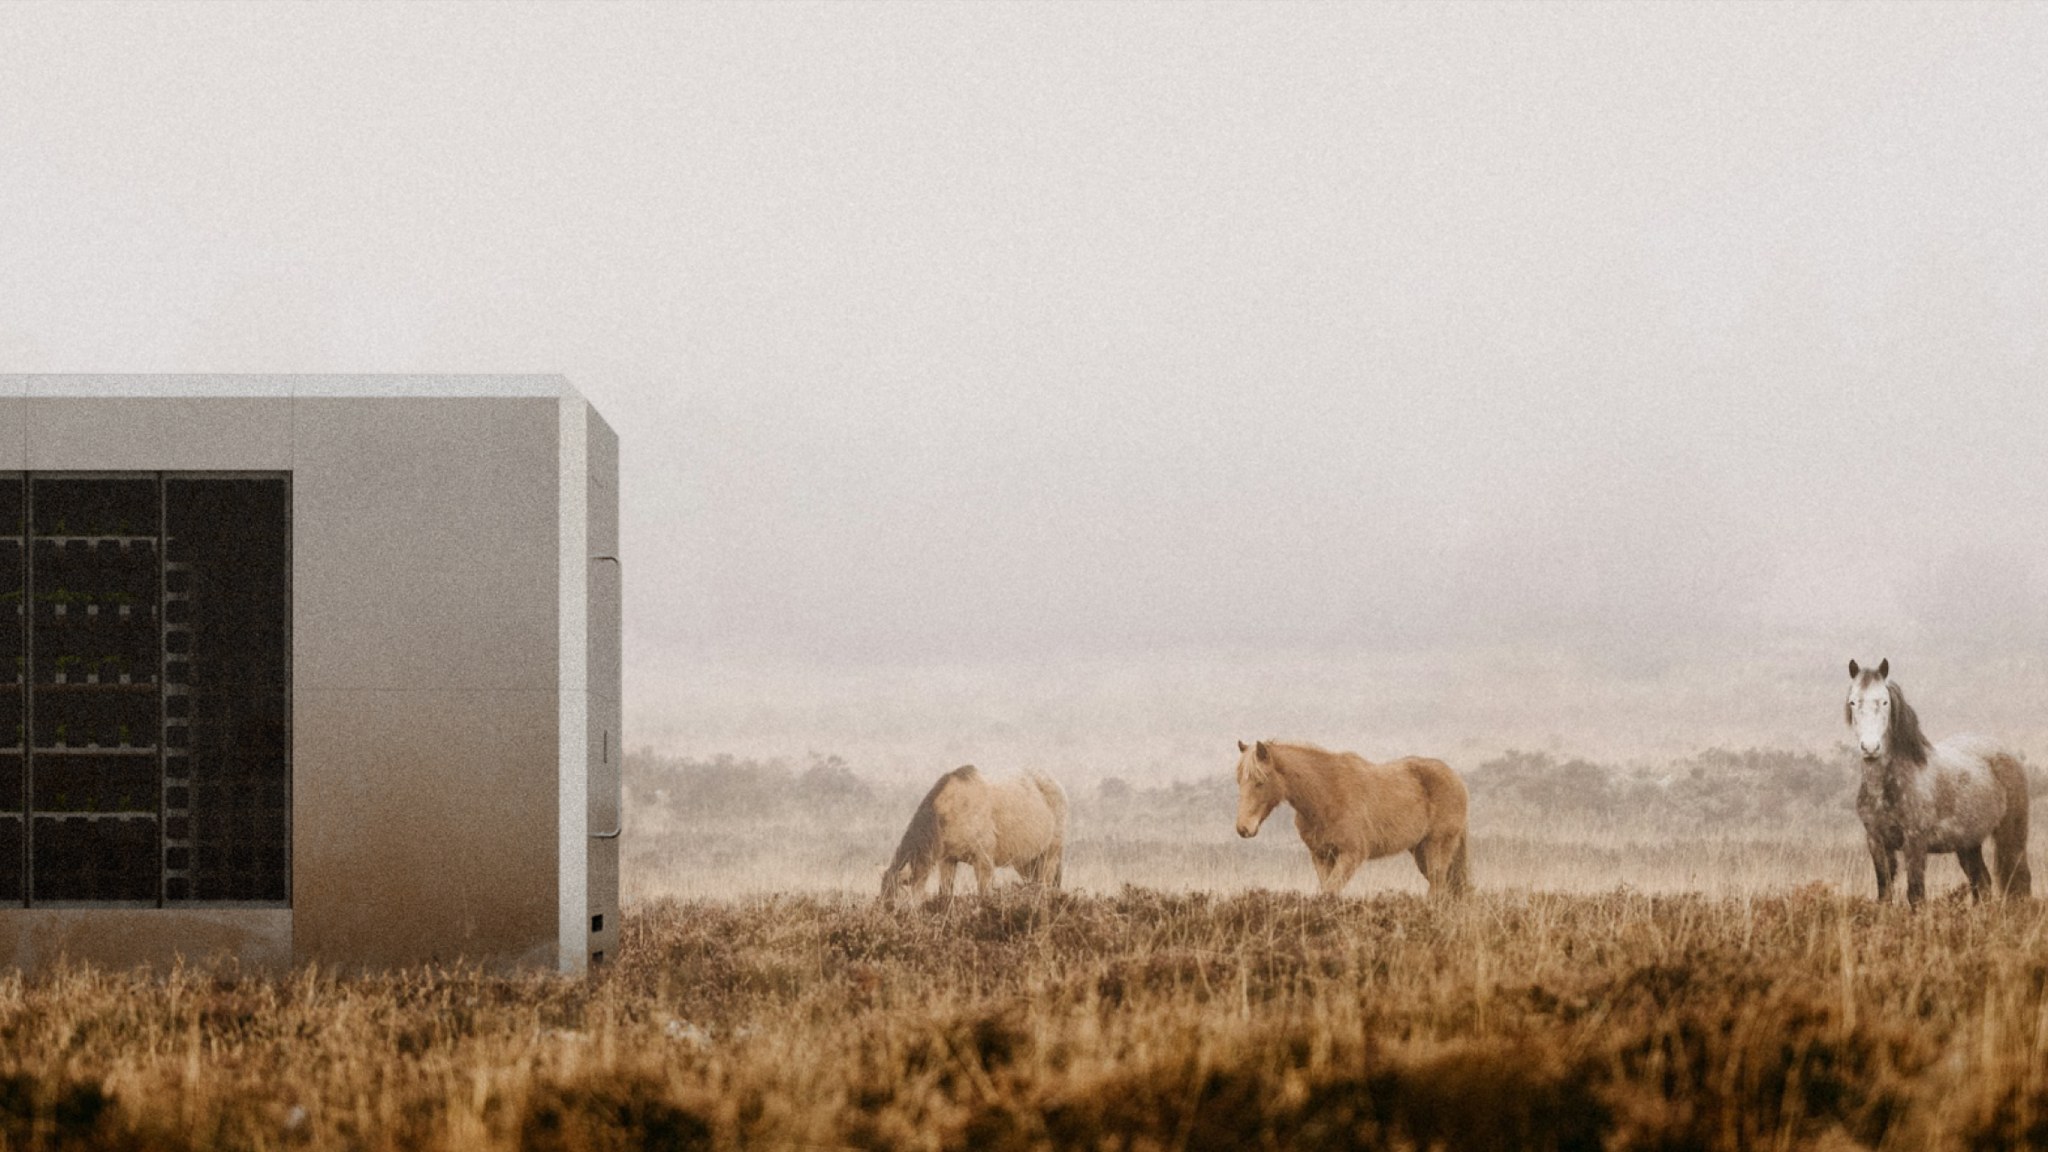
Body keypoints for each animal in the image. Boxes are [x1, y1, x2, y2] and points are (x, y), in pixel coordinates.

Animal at [879, 765, 1067, 905]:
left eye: (893, 902)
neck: (952, 811)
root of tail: (1054, 784)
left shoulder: (983, 862)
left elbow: (984, 897)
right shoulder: (947, 860)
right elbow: (945, 894)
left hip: (1049, 856)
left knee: (1045, 887)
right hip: (1027, 862)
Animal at [1232, 740, 1470, 896]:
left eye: (1260, 781)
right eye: (1239, 781)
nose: (1243, 828)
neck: (1327, 795)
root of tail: (1457, 780)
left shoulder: (1351, 855)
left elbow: (1330, 893)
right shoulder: (1321, 856)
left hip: (1437, 847)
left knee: (1438, 889)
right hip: (1420, 850)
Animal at [1846, 658, 2031, 905]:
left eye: (1884, 701)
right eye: (1853, 701)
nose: (1870, 747)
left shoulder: (1915, 843)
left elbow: (1916, 895)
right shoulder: (1877, 842)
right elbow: (1884, 894)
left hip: (2011, 836)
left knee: (2019, 881)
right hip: (1968, 844)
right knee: (1981, 882)